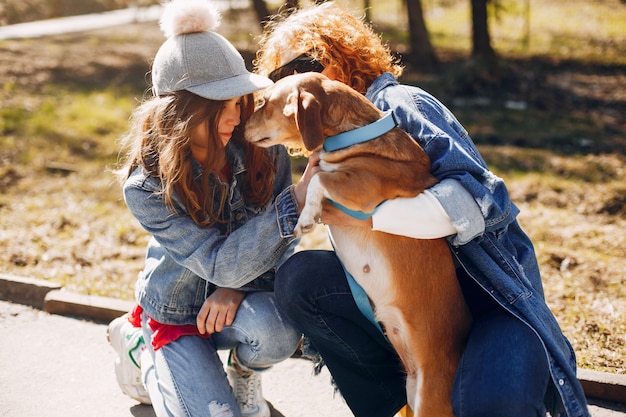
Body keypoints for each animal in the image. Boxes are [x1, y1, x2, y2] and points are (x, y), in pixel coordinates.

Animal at [244, 72, 468, 416]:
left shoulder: (361, 190)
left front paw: (306, 217)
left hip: (428, 403)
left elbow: (319, 181)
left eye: (265, 102)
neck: (349, 136)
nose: (240, 129)